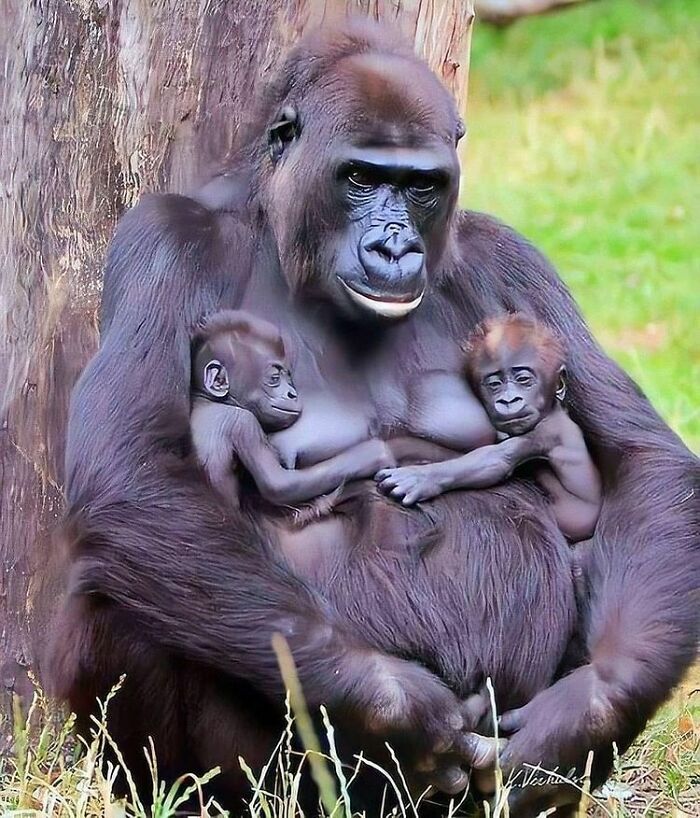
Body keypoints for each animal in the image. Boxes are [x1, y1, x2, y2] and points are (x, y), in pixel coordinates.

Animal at [376, 313, 602, 543]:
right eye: (495, 384)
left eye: (523, 380)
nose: (508, 400)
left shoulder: (548, 431)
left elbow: (496, 461)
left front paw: (422, 478)